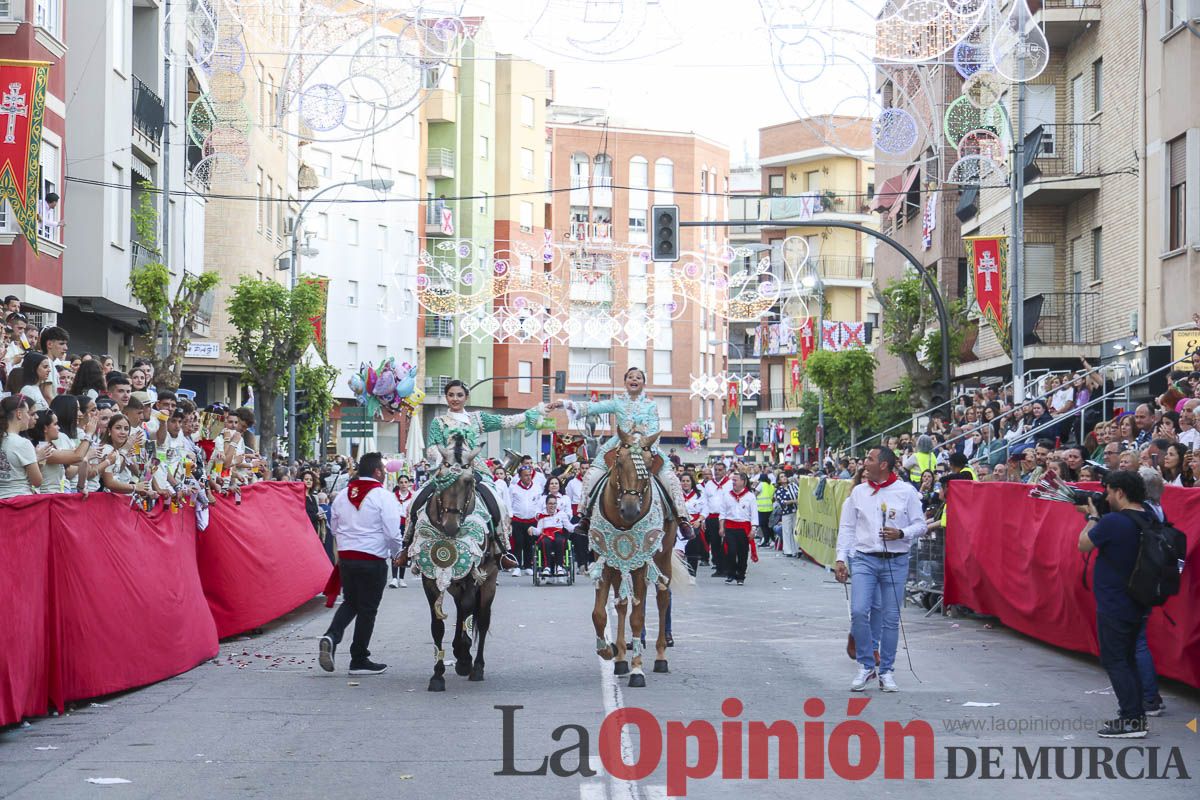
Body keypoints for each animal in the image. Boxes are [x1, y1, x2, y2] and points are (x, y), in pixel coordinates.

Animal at [403, 434, 496, 690]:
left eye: (469, 481)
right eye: (440, 480)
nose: (451, 526)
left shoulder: (475, 574)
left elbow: (469, 611)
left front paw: (464, 656)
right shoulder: (430, 578)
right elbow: (438, 624)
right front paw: (437, 675)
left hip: (489, 580)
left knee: (481, 618)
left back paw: (476, 666)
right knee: (461, 609)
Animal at [585, 431, 681, 690]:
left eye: (647, 467)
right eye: (619, 463)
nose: (630, 510)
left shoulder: (643, 562)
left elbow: (638, 618)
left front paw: (637, 670)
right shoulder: (605, 561)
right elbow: (599, 613)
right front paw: (607, 650)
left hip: (662, 557)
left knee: (662, 598)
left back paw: (660, 657)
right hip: (621, 565)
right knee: (622, 604)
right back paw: (619, 659)